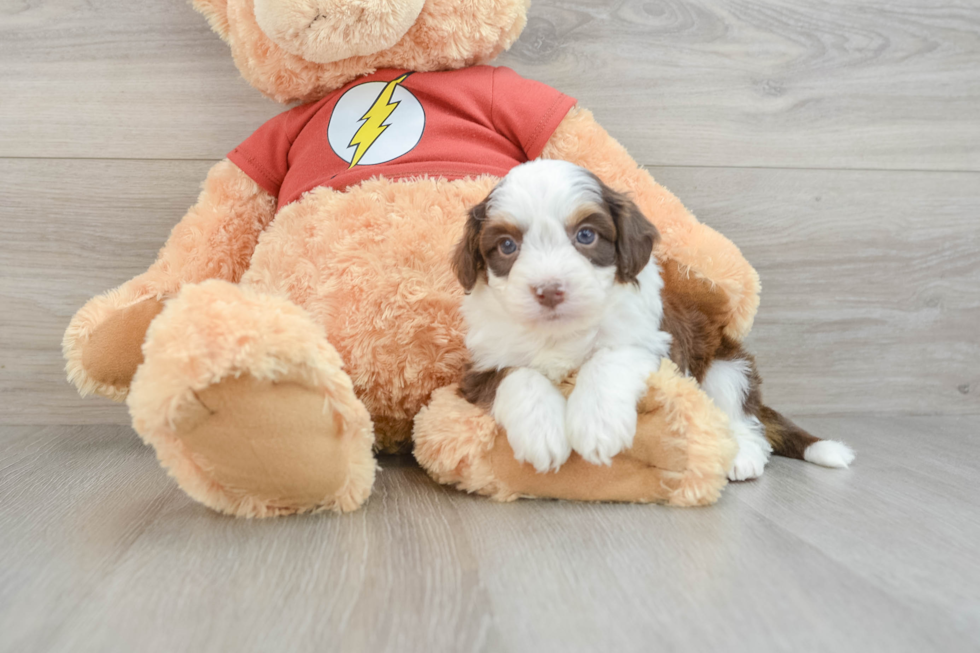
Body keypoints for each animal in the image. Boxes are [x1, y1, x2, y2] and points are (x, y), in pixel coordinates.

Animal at [456, 160, 852, 478]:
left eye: (586, 235)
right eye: (507, 245)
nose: (549, 290)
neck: (562, 330)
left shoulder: (657, 345)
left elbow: (609, 357)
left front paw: (597, 425)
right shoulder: (483, 363)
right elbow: (517, 374)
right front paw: (542, 432)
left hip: (725, 365)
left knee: (742, 414)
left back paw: (743, 457)